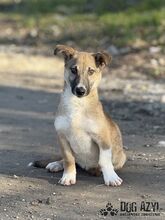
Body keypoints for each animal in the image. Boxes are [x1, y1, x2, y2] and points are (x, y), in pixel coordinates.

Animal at [30, 44, 126, 186]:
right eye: (73, 70)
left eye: (91, 71)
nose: (80, 91)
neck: (77, 104)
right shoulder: (62, 137)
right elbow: (68, 159)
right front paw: (68, 176)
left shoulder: (102, 139)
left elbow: (104, 160)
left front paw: (111, 177)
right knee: (71, 160)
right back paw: (56, 164)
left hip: (121, 157)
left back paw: (96, 170)